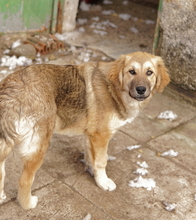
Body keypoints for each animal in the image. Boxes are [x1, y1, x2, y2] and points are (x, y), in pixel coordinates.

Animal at [0, 52, 169, 210]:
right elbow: (101, 161)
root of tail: (14, 91)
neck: (113, 89)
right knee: (25, 180)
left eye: (149, 72)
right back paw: (27, 204)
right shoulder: (101, 136)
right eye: (131, 71)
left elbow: (91, 156)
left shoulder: (91, 134)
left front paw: (92, 172)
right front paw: (103, 182)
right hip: (39, 145)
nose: (141, 90)